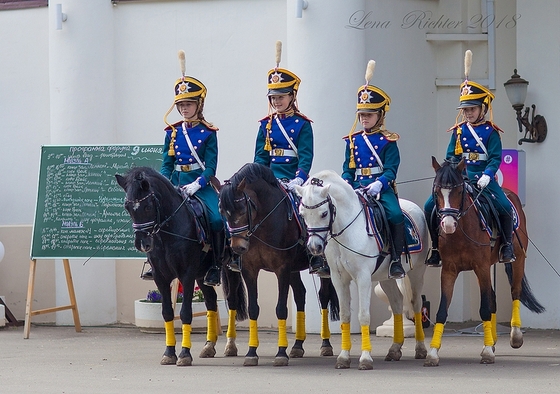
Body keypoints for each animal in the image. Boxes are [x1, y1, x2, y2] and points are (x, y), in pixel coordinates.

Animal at [218, 162, 342, 366]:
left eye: (243, 209)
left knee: (323, 296)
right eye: (222, 212)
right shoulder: (249, 270)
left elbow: (281, 309)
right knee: (300, 294)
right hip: (293, 269)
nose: (238, 247)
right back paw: (298, 345)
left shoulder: (282, 269)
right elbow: (253, 309)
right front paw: (251, 352)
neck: (263, 223)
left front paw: (281, 353)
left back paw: (325, 344)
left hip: (321, 268)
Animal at [296, 171, 430, 370]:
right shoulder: (338, 278)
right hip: (386, 277)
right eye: (302, 214)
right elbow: (345, 315)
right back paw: (394, 349)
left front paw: (365, 358)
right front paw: (343, 357)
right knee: (397, 302)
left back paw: (420, 349)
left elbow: (364, 316)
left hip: (417, 272)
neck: (346, 230)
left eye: (324, 213)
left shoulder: (363, 278)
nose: (314, 247)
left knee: (415, 304)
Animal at [426, 157, 544, 366]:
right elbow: (442, 310)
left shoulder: (480, 267)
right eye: (437, 191)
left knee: (515, 292)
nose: (448, 225)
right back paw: (493, 339)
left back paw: (515, 336)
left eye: (459, 191)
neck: (461, 231)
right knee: (493, 299)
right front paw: (433, 352)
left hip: (517, 260)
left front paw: (487, 351)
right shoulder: (449, 270)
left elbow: (484, 308)